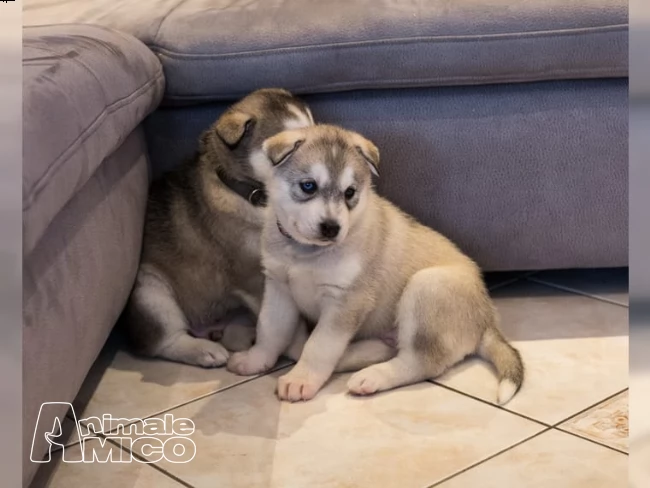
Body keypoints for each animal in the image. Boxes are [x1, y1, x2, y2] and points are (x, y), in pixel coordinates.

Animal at [124, 89, 314, 368]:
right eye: (288, 147)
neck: (249, 193)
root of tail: (206, 327)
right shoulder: (254, 275)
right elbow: (284, 321)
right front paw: (298, 348)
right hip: (150, 292)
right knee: (163, 341)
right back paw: (204, 350)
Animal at [227, 123, 520, 404]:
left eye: (350, 193)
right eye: (308, 186)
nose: (332, 228)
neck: (306, 253)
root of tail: (487, 321)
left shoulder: (346, 300)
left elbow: (320, 345)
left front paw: (301, 379)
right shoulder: (278, 287)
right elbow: (269, 329)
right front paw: (255, 360)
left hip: (427, 287)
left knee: (422, 363)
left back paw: (372, 377)